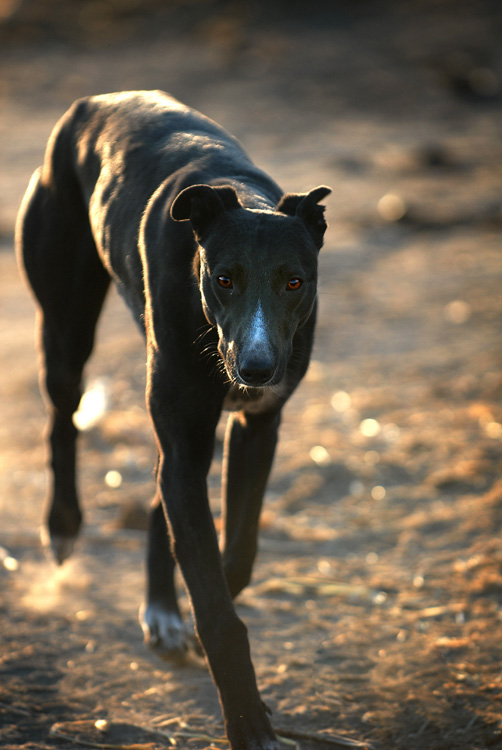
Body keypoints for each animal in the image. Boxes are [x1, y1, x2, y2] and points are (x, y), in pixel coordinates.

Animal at [15, 91, 330, 748]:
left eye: (295, 281)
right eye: (224, 278)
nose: (257, 369)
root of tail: (93, 102)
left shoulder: (256, 428)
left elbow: (234, 556)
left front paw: (190, 604)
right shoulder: (190, 436)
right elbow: (217, 607)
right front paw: (248, 722)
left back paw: (162, 607)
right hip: (66, 321)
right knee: (62, 416)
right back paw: (63, 522)